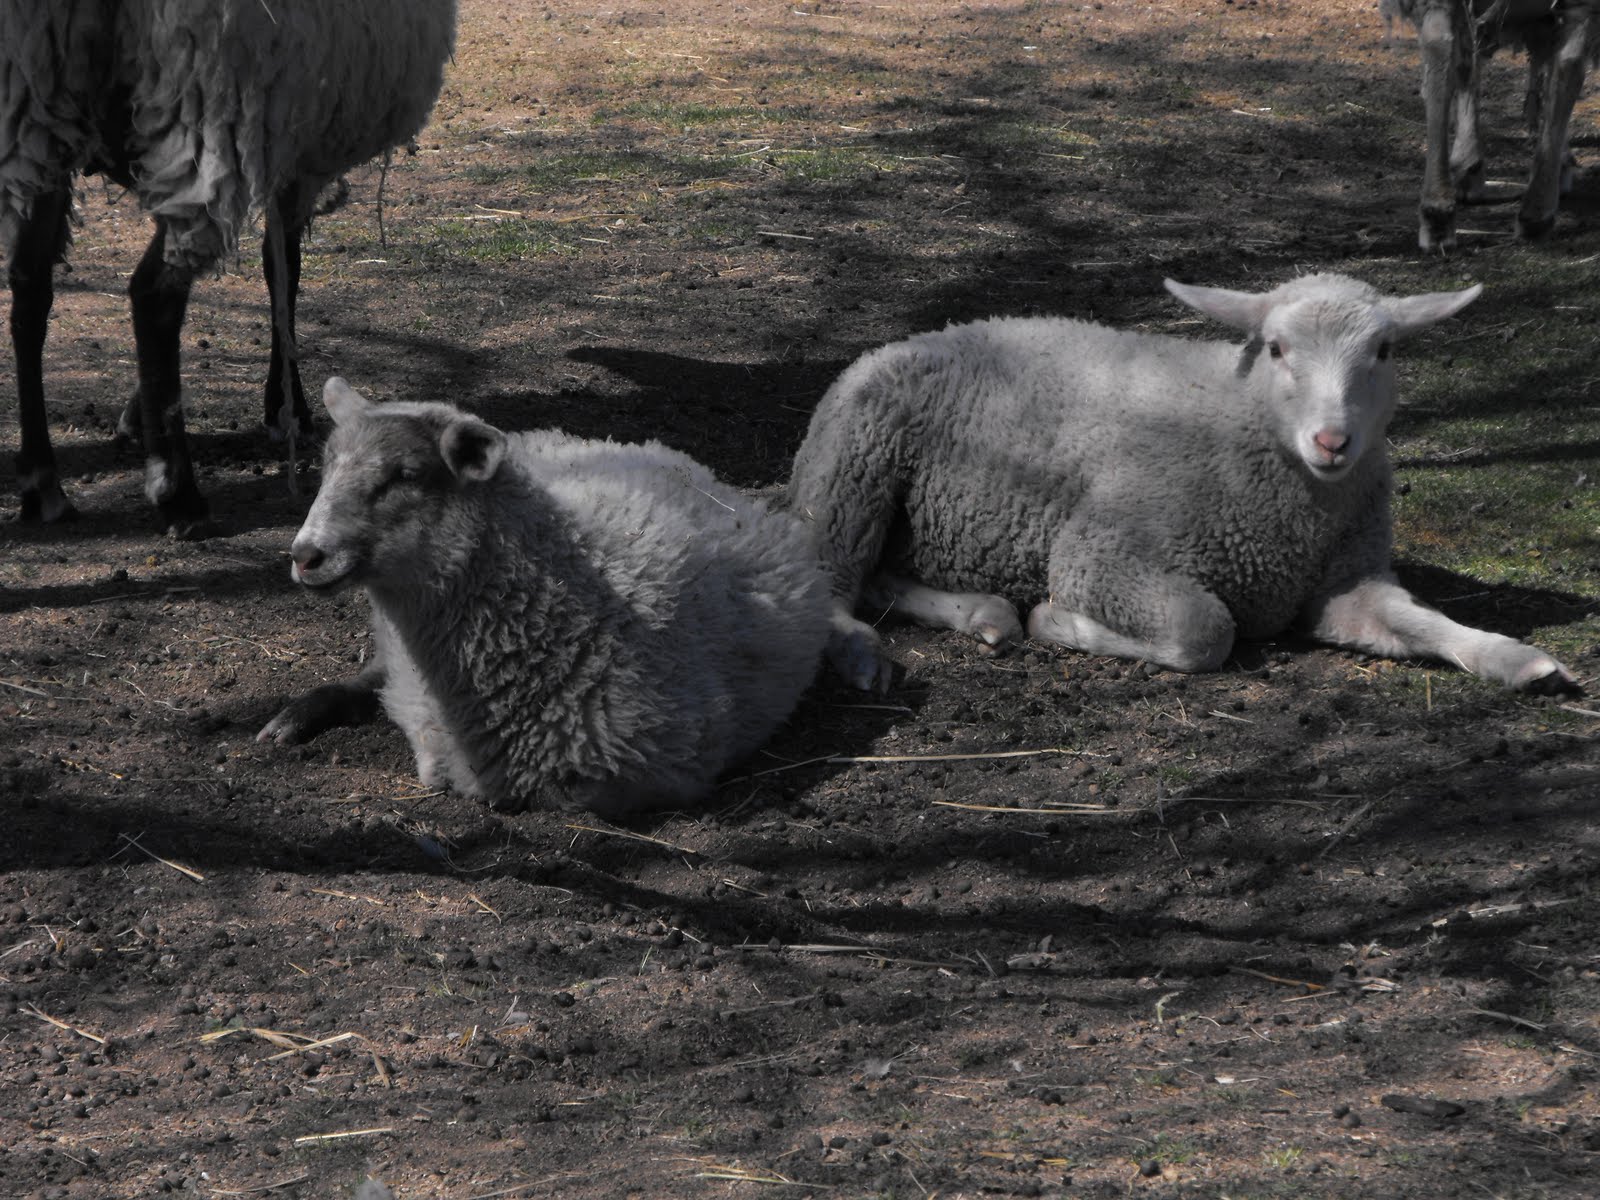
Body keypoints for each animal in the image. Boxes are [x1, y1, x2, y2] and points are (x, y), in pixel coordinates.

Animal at [1, 0, 457, 535]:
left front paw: (137, 412)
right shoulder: (293, 140)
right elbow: (284, 270)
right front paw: (287, 406)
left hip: (38, 106)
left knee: (30, 290)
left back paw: (42, 481)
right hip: (204, 107)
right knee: (153, 295)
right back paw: (177, 491)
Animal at [785, 273, 1578, 696]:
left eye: (1383, 350)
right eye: (1277, 349)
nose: (1333, 442)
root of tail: (922, 335)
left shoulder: (1341, 585)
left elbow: (1422, 623)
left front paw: (1514, 660)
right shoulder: (1103, 553)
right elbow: (1206, 632)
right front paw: (1058, 622)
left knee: (880, 579)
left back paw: (982, 613)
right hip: (852, 468)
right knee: (832, 587)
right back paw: (869, 654)